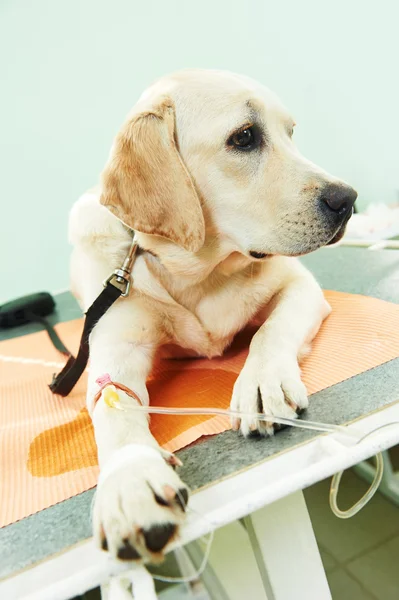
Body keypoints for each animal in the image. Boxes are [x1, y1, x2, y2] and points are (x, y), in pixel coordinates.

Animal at [68, 69, 356, 564]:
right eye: (244, 137)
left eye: (291, 133)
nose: (349, 199)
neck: (197, 274)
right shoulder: (116, 340)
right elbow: (112, 403)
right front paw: (130, 478)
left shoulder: (301, 286)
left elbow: (269, 332)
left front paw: (260, 381)